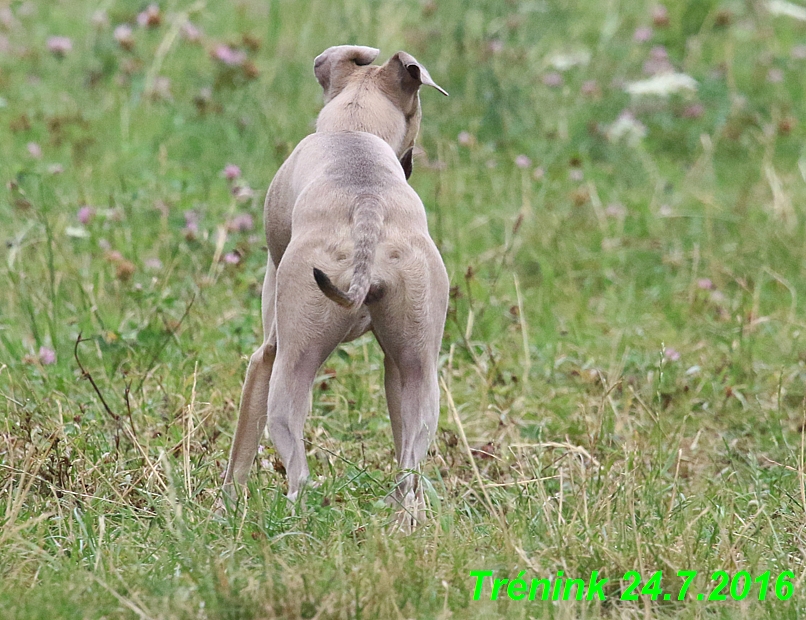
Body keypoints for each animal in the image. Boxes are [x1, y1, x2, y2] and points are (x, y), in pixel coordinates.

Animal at [224, 44, 452, 528]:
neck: (353, 134)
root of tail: (367, 208)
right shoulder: (395, 369)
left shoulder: (264, 357)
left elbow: (239, 457)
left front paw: (223, 512)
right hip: (423, 376)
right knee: (409, 474)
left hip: (290, 370)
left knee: (298, 473)